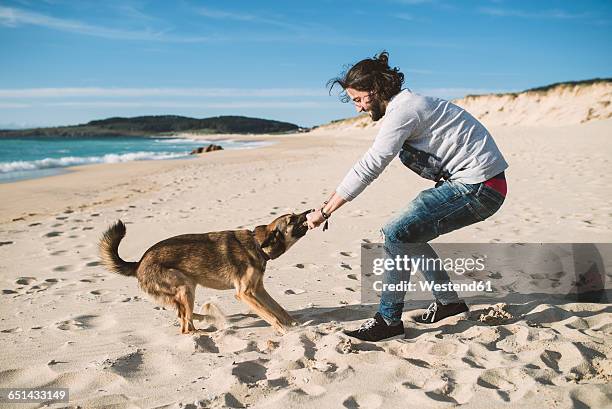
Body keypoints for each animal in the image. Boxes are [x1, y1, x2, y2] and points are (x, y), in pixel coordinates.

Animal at [101, 210, 314, 334]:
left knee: (183, 316)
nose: (310, 211)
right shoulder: (245, 294)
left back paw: (205, 319)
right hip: (185, 287)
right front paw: (283, 330)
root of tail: (139, 263)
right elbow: (270, 315)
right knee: (185, 326)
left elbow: (279, 309)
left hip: (187, 289)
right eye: (291, 219)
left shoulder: (258, 290)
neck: (257, 244)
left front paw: (293, 324)